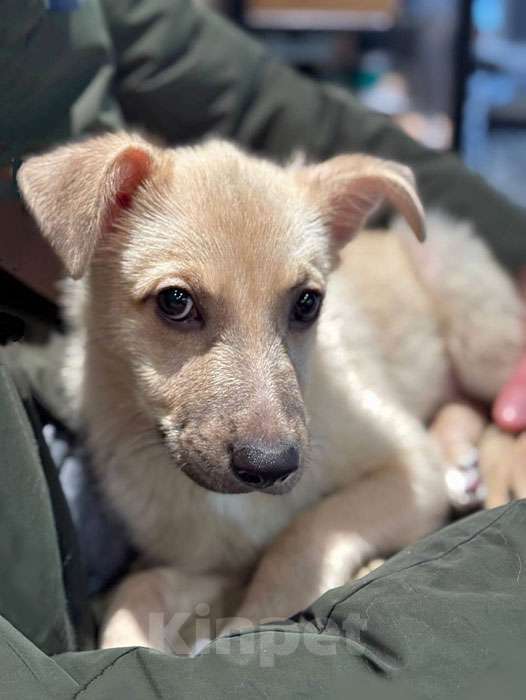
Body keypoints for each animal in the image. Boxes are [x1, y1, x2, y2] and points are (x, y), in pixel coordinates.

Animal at [17, 131, 526, 652]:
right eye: (175, 302)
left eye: (307, 303)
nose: (271, 467)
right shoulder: (210, 561)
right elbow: (138, 588)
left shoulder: (407, 467)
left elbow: (301, 537)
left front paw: (252, 628)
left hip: (478, 335)